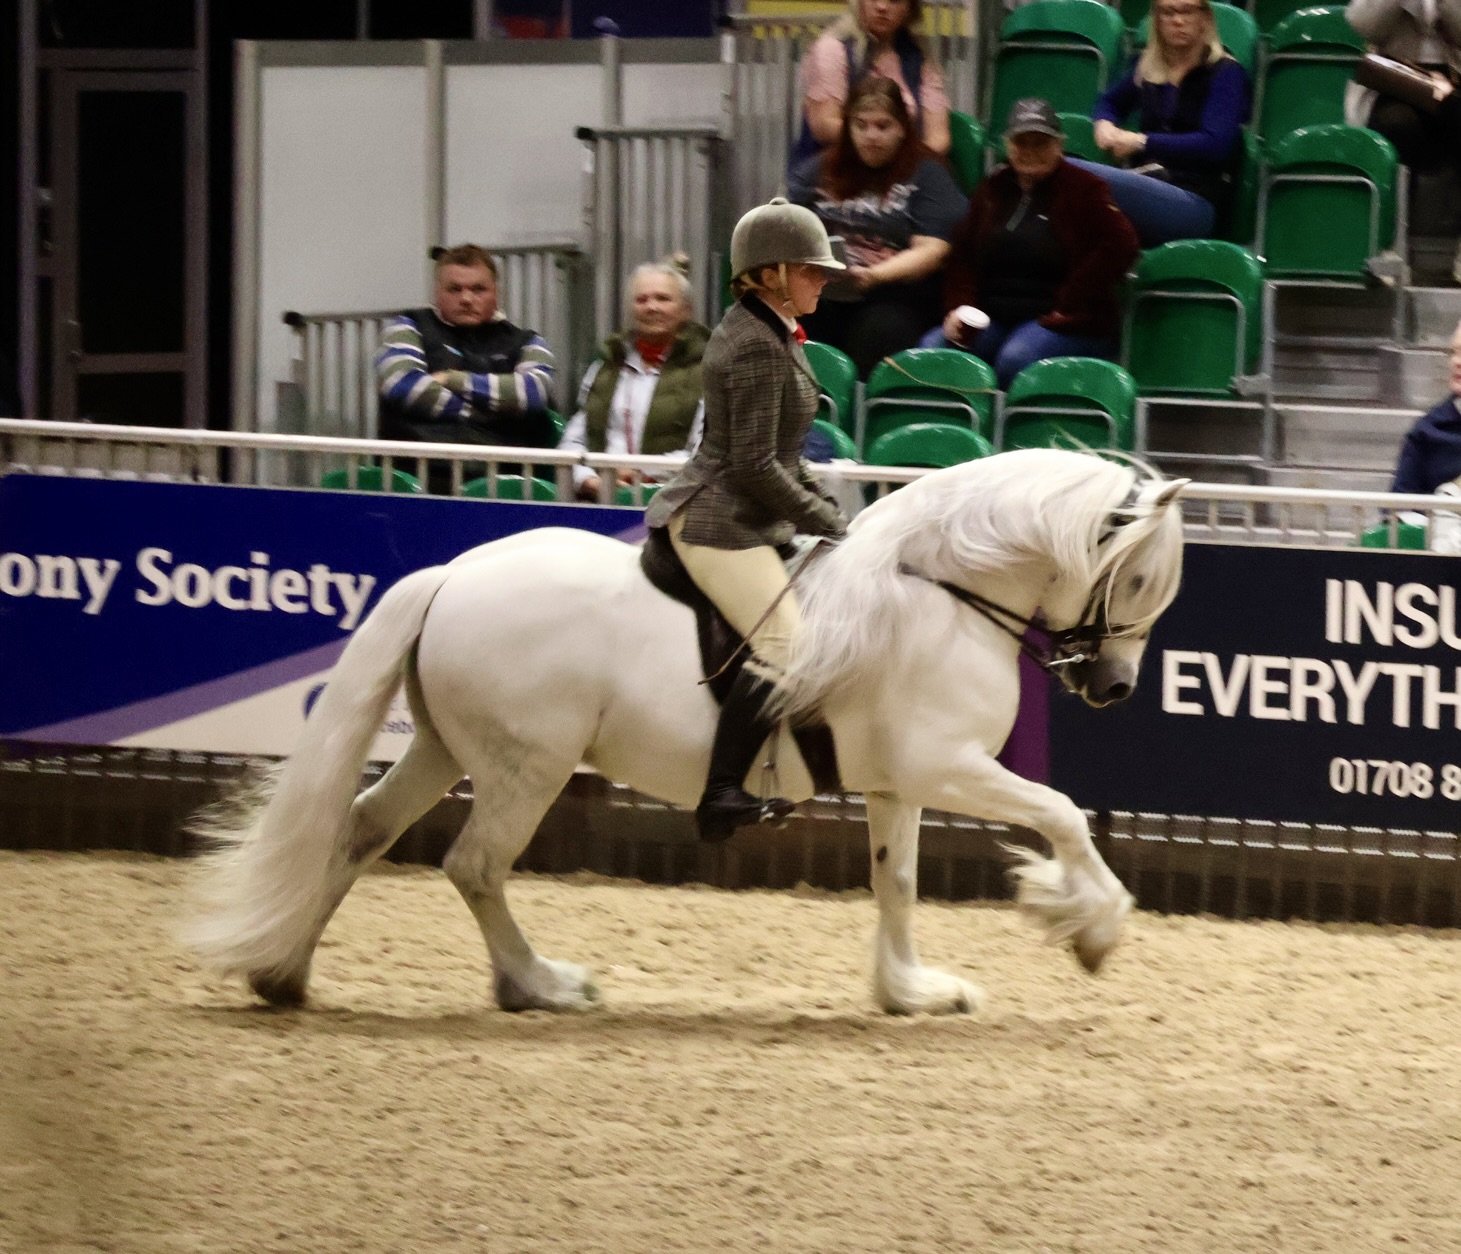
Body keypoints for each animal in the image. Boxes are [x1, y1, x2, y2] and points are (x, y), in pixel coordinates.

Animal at [185, 448, 1188, 1016]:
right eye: (1140, 580)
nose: (1113, 687)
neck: (938, 591)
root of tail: (450, 574)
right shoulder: (947, 766)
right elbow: (1061, 812)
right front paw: (1092, 927)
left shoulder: (897, 781)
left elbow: (896, 884)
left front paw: (910, 993)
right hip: (525, 765)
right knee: (474, 866)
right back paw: (541, 986)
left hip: (442, 747)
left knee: (361, 828)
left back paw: (282, 974)